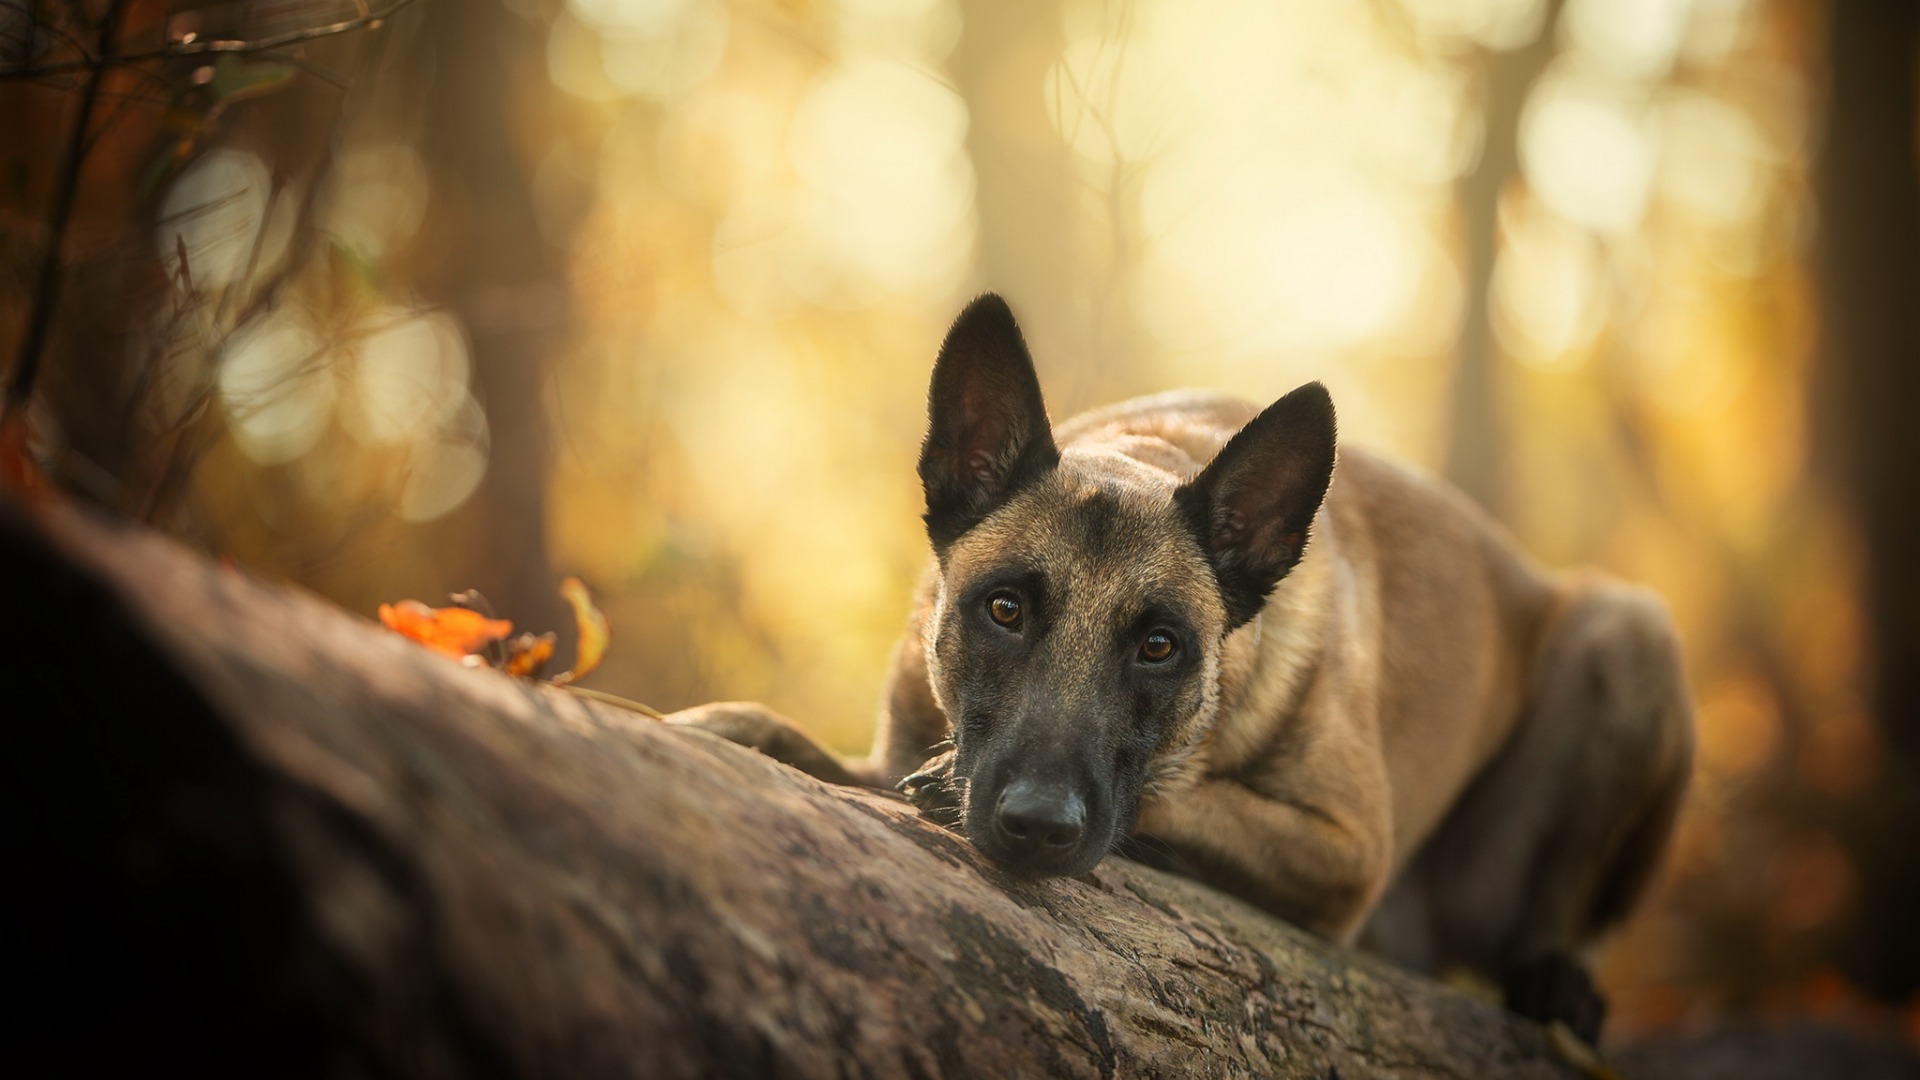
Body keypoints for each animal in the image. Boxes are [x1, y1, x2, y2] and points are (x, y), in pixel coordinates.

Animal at [668, 292, 1689, 1037]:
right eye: (1004, 609)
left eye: (1160, 647)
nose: (1036, 826)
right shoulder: (887, 750)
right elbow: (802, 741)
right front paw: (723, 725)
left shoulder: (1344, 849)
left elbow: (1178, 797)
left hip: (1630, 632)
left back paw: (1556, 979)